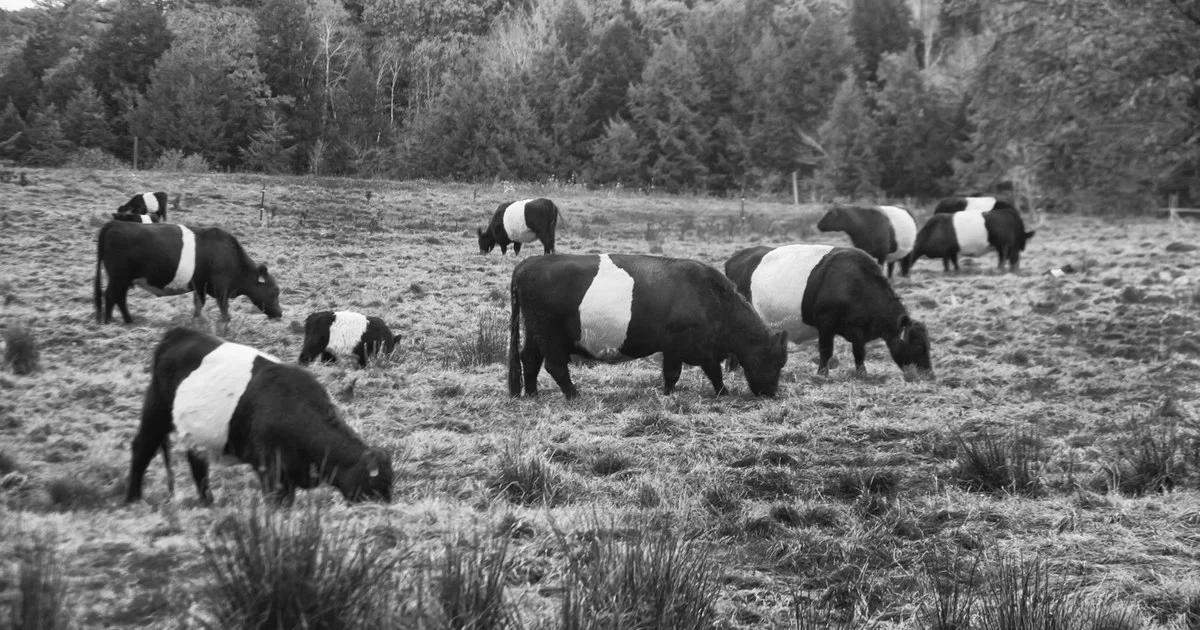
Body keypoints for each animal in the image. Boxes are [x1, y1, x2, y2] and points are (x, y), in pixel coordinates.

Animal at [94, 220, 283, 324]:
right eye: (275, 291)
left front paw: (196, 321)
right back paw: (109, 321)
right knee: (111, 296)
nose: (280, 313)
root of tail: (116, 223)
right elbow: (223, 307)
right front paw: (225, 323)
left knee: (119, 297)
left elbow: (199, 305)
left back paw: (128, 320)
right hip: (119, 277)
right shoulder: (221, 287)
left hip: (124, 280)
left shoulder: (200, 286)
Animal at [125, 326, 393, 505]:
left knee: (197, 464)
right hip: (156, 413)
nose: (387, 506)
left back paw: (208, 502)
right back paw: (133, 498)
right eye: (376, 485)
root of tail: (178, 333)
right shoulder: (271, 473)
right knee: (142, 448)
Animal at [508, 253, 789, 398]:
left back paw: (532, 393)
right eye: (776, 361)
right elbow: (678, 372)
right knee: (554, 365)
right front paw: (670, 394)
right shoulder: (678, 344)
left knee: (529, 358)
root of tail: (527, 263)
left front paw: (721, 392)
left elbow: (709, 372)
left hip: (535, 331)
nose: (771, 393)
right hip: (550, 332)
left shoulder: (700, 348)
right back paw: (574, 394)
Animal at [724, 244, 933, 381]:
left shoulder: (857, 329)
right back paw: (732, 369)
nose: (929, 375)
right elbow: (826, 349)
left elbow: (859, 352)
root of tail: (735, 257)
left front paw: (862, 372)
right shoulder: (826, 323)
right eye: (919, 346)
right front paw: (822, 373)